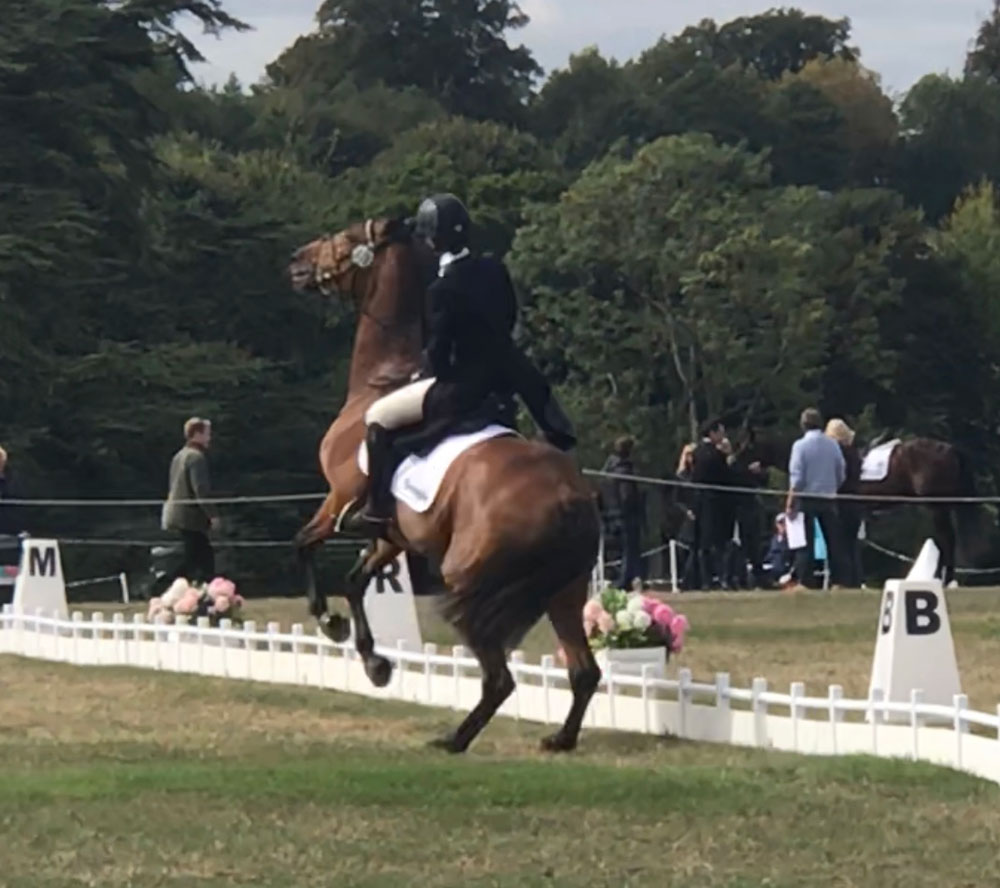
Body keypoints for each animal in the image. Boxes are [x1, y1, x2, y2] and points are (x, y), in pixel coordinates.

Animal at [288, 219, 600, 752]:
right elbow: (355, 580)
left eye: (346, 238)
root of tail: (566, 497)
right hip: (566, 588)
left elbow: (305, 543)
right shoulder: (392, 535)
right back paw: (559, 739)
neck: (379, 381)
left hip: (469, 578)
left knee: (500, 677)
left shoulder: (339, 499)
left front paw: (328, 621)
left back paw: (455, 739)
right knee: (583, 672)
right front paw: (375, 663)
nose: (296, 262)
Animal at [740, 428, 988, 584]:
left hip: (937, 507)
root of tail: (950, 448)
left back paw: (946, 580)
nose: (734, 461)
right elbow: (849, 544)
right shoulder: (852, 512)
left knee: (947, 539)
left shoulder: (843, 511)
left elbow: (841, 543)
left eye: (747, 447)